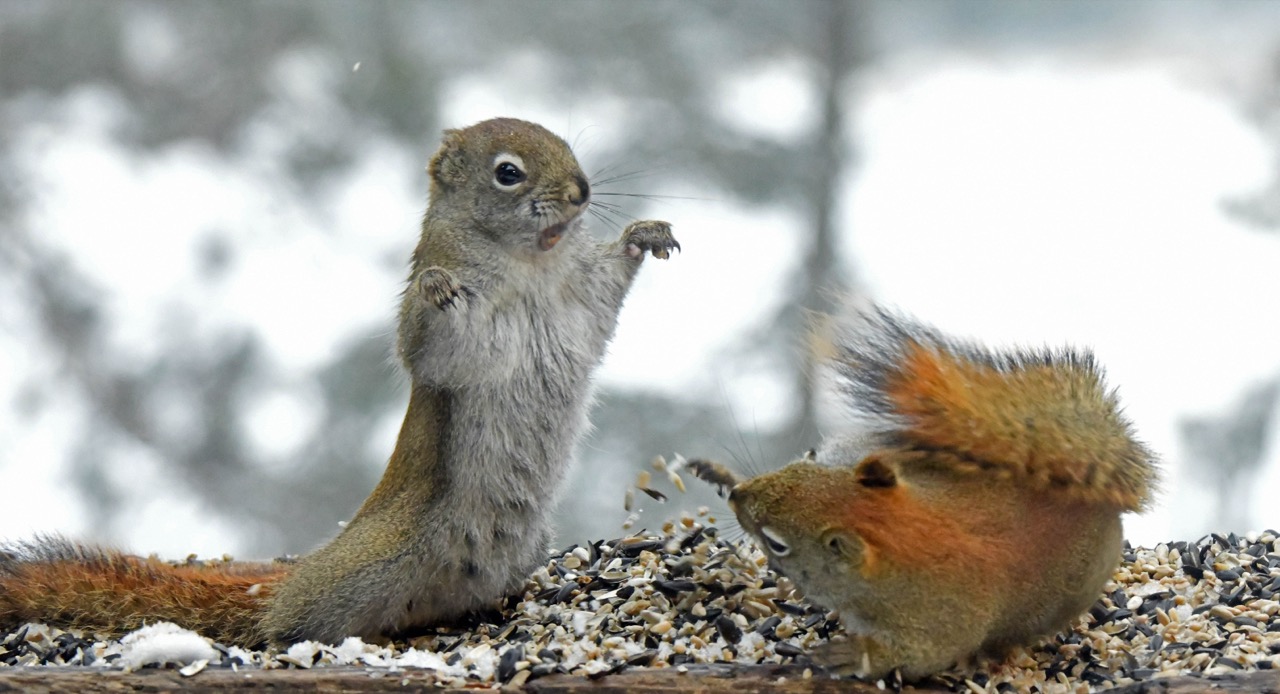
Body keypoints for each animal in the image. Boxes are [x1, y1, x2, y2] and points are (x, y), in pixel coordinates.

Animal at [0, 117, 680, 647]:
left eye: (565, 144)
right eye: (507, 173)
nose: (580, 191)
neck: (531, 261)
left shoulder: (578, 300)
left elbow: (603, 293)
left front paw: (644, 235)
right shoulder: (452, 337)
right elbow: (429, 345)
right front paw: (435, 291)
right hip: (362, 574)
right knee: (288, 621)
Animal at [691, 305, 1158, 681]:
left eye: (777, 542)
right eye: (802, 462)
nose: (738, 498)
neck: (902, 533)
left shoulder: (938, 622)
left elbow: (917, 657)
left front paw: (853, 655)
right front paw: (720, 473)